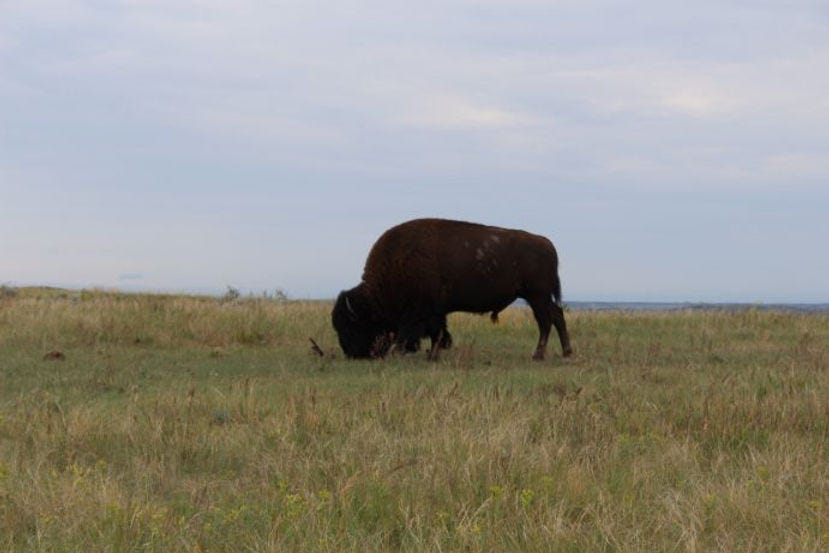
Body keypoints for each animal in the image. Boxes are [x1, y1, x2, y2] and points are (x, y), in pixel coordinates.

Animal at [332, 218, 573, 361]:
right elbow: (439, 332)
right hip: (539, 297)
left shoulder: (420, 313)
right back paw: (566, 352)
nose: (352, 354)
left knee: (545, 321)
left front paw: (422, 353)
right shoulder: (436, 312)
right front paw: (434, 353)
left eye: (352, 325)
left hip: (537, 296)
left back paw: (538, 355)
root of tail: (547, 244)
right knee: (557, 316)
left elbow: (424, 332)